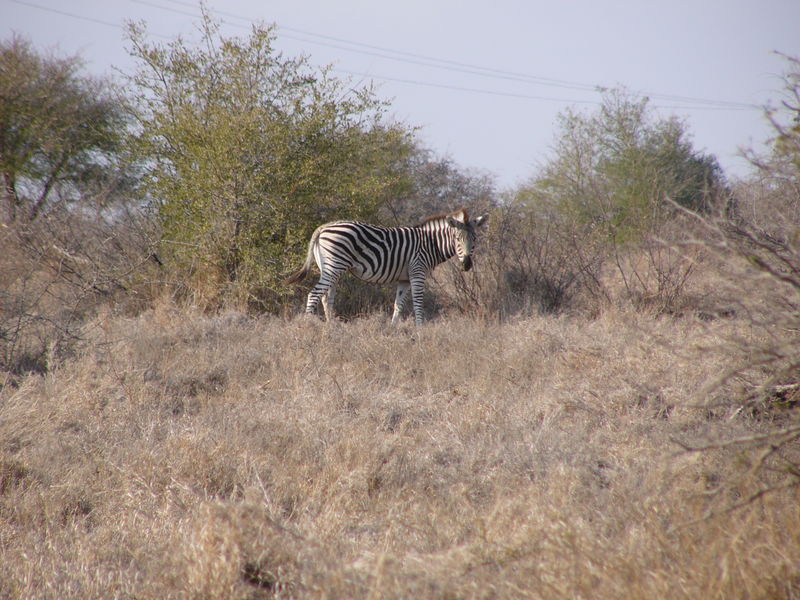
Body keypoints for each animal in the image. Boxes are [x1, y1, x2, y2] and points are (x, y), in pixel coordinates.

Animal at [284, 209, 490, 326]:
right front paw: (420, 330)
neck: (430, 244)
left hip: (331, 268)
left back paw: (332, 328)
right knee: (314, 294)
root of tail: (323, 227)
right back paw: (309, 327)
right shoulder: (417, 272)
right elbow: (418, 302)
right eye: (457, 239)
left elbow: (398, 305)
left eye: (475, 239)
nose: (467, 264)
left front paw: (393, 330)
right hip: (334, 266)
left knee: (327, 298)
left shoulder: (404, 279)